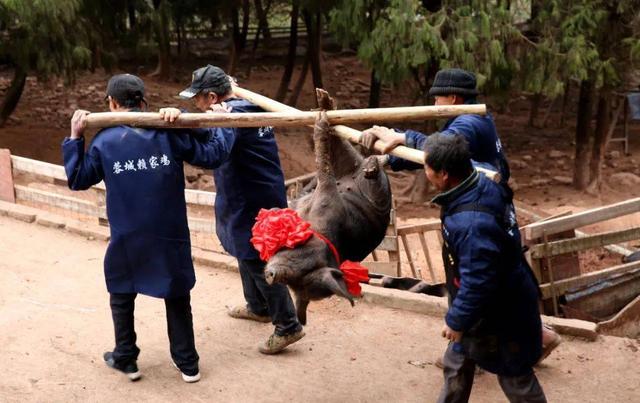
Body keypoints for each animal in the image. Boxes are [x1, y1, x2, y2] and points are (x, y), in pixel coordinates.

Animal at [262, 90, 392, 326]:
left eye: (298, 278)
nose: (271, 275)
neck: (317, 229)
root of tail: (358, 172)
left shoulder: (327, 196)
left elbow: (323, 169)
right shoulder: (322, 198)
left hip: (374, 188)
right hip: (350, 164)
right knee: (344, 147)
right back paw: (324, 106)